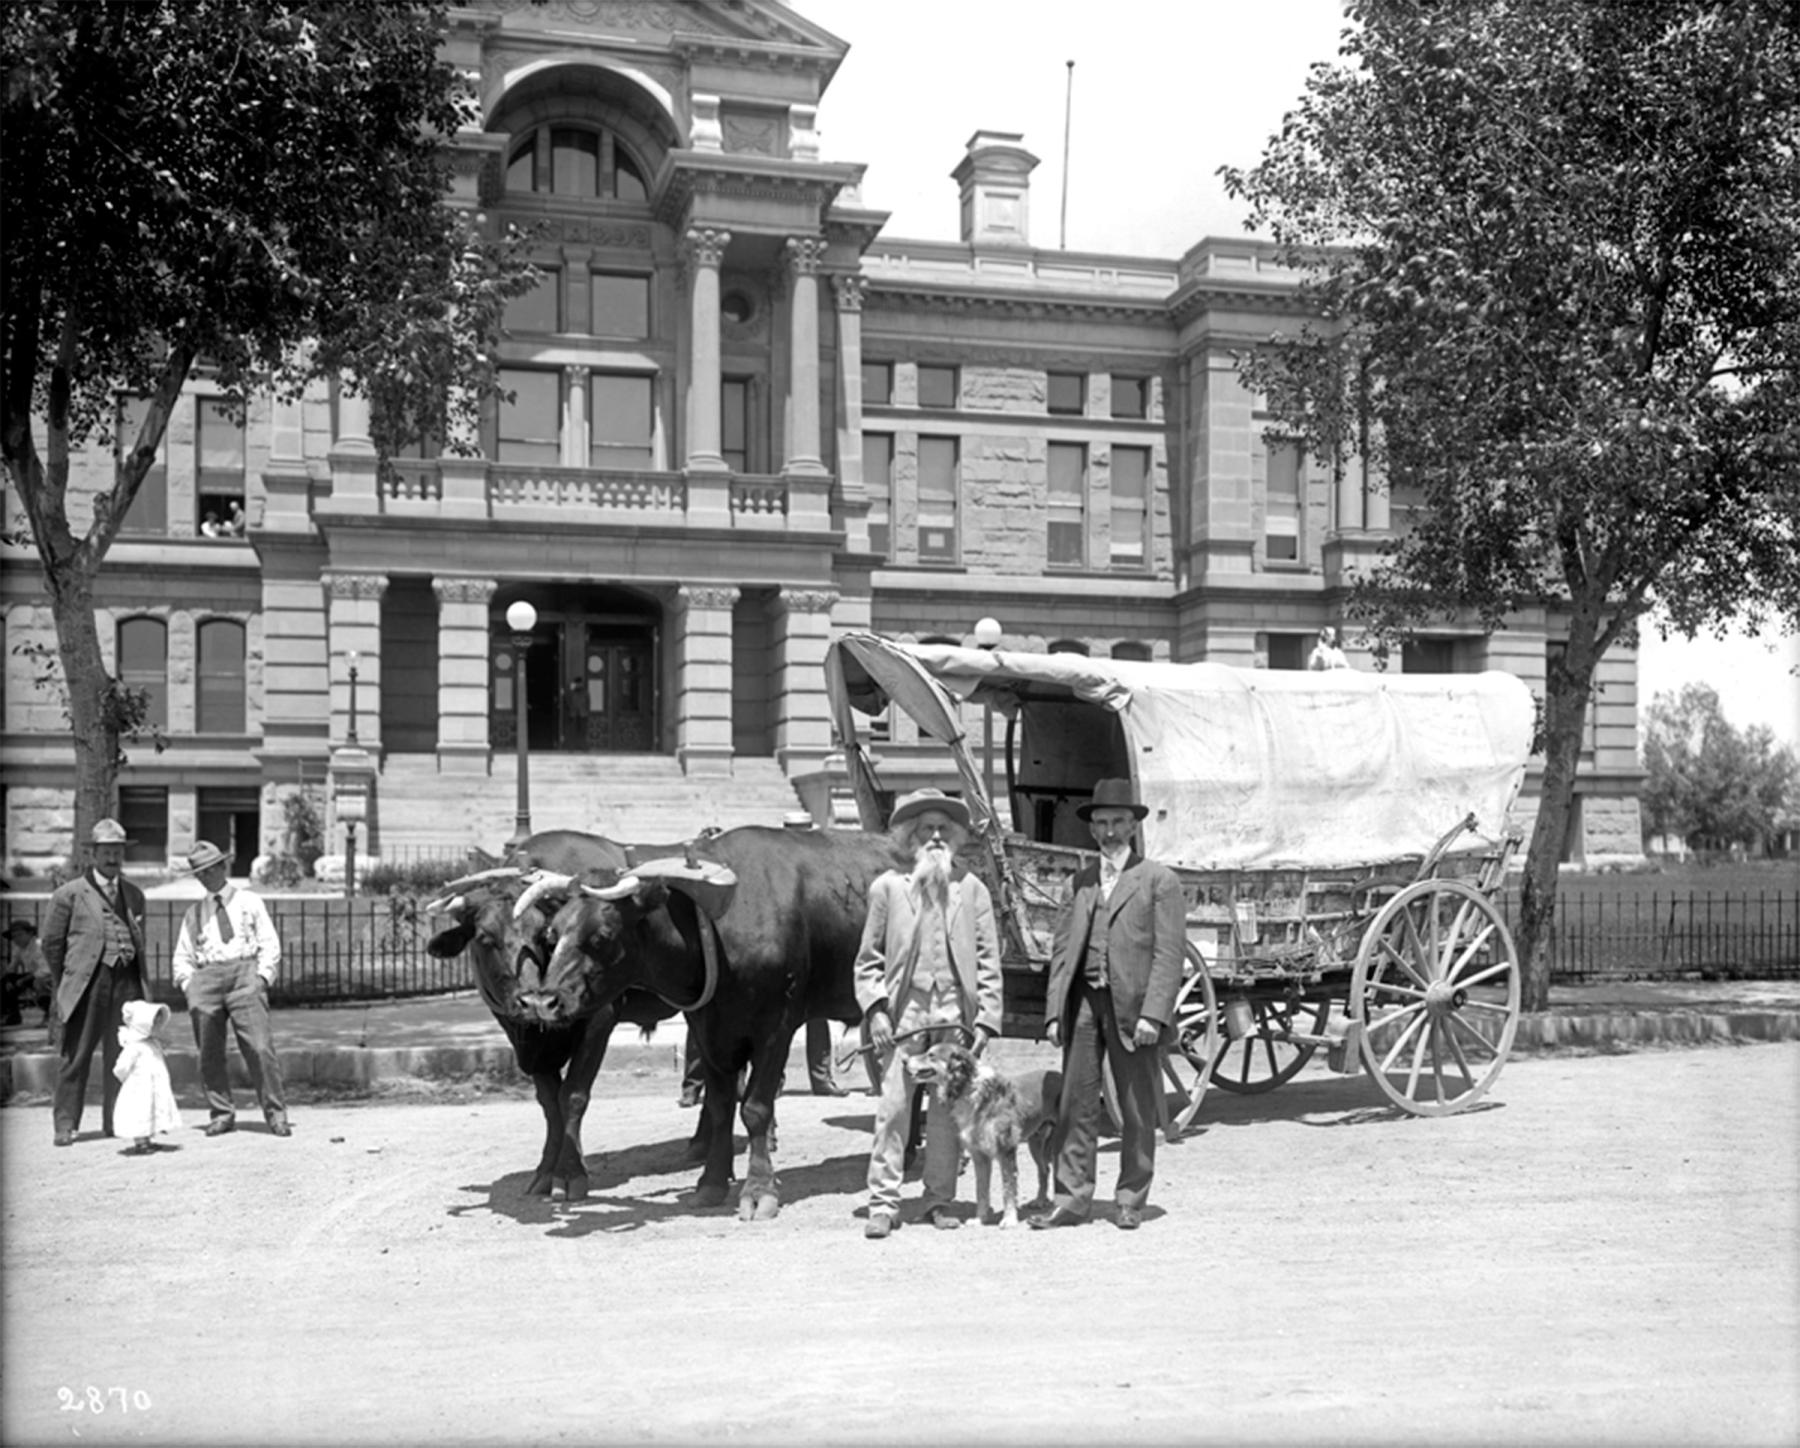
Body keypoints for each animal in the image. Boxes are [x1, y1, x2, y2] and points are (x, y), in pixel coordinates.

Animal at [907, 1044, 1058, 1224]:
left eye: (931, 1055)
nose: (904, 1060)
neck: (970, 1090)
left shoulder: (1006, 1150)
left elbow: (1008, 1188)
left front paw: (1009, 1219)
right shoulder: (979, 1155)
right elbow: (981, 1190)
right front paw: (980, 1219)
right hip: (1035, 1143)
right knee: (1044, 1170)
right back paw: (1040, 1200)